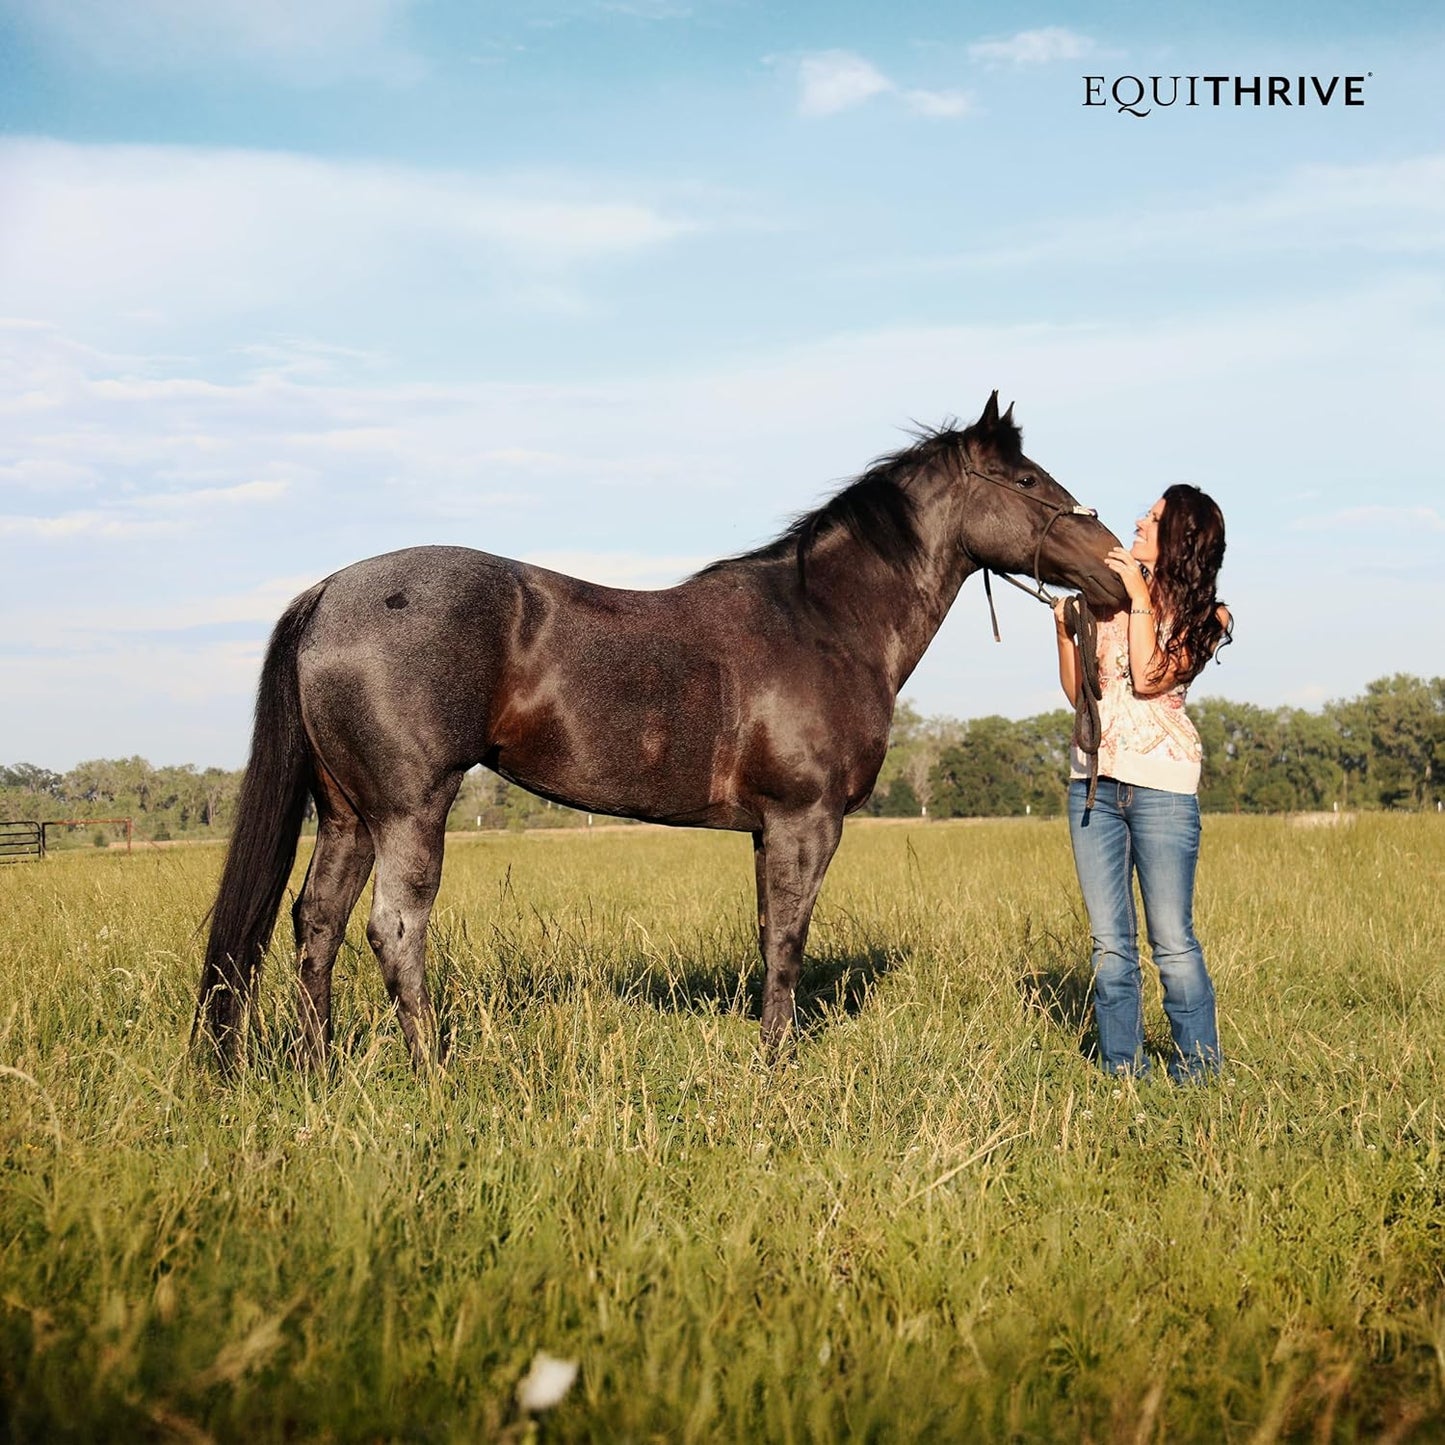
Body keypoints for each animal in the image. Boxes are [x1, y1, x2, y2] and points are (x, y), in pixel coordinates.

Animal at [195, 392, 1128, 1070]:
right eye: (1029, 484)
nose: (1118, 568)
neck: (823, 621)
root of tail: (326, 592)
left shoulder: (768, 831)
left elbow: (768, 936)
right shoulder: (805, 820)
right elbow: (788, 942)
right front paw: (777, 1066)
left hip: (346, 814)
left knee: (317, 923)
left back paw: (318, 1070)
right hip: (407, 810)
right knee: (393, 930)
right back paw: (433, 1071)